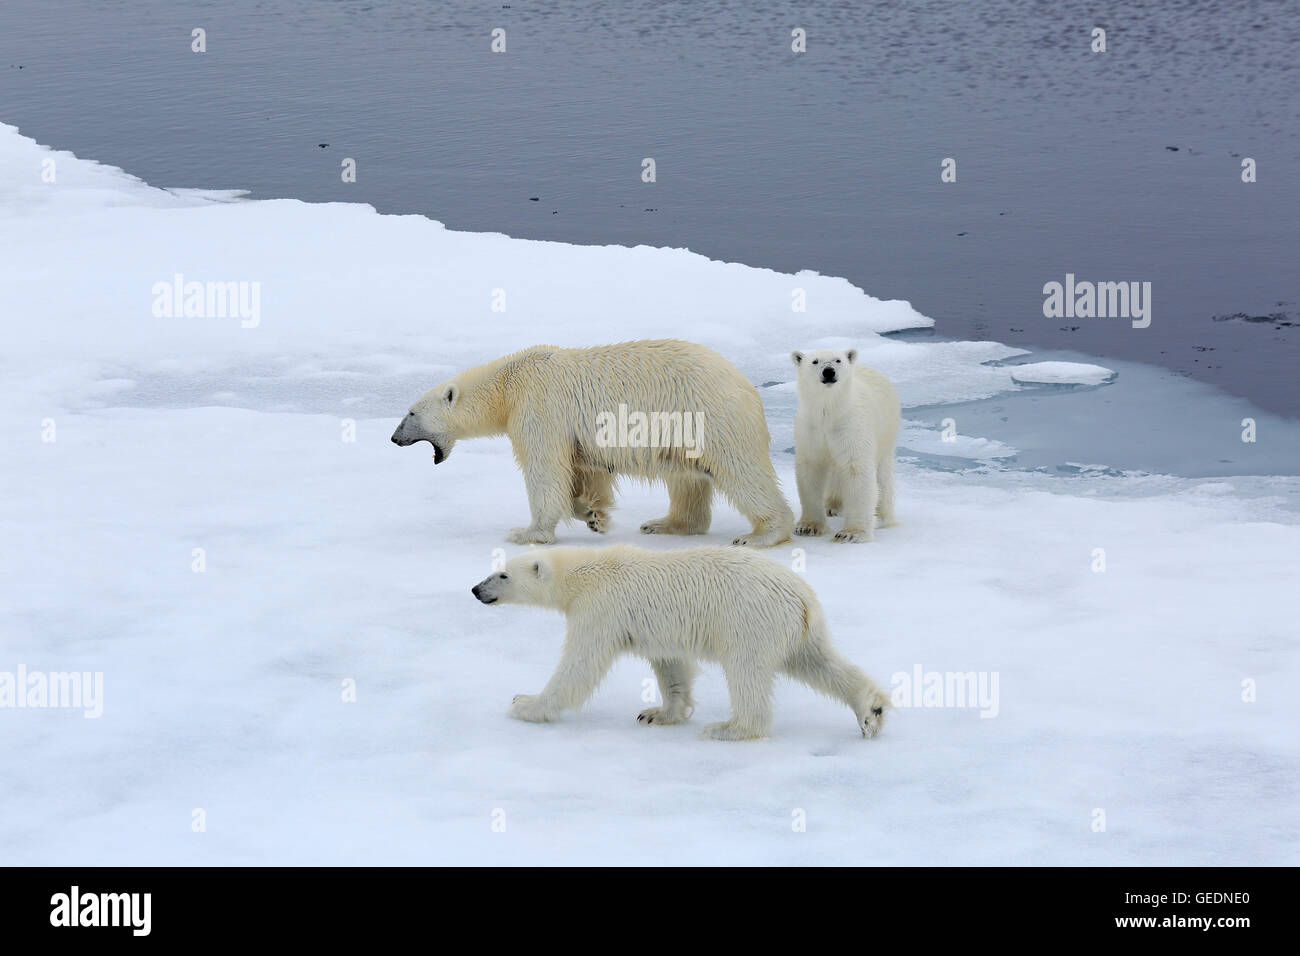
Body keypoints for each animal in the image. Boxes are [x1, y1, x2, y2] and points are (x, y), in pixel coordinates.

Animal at [392, 340, 794, 547]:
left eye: (411, 412)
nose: (394, 438)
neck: (509, 383)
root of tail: (747, 387)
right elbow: (582, 469)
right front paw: (592, 514)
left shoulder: (539, 407)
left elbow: (545, 470)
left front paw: (527, 533)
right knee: (685, 477)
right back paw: (665, 524)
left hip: (708, 417)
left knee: (740, 471)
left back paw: (761, 534)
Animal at [471, 544, 891, 740]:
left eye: (503, 574)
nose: (476, 589)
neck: (583, 573)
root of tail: (801, 594)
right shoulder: (658, 630)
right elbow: (671, 666)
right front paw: (658, 713)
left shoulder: (600, 608)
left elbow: (580, 665)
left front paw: (525, 703)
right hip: (797, 628)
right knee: (819, 662)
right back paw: (871, 710)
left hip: (749, 619)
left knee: (746, 671)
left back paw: (729, 728)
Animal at [790, 347, 900, 543]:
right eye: (815, 361)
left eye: (838, 360)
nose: (829, 371)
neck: (829, 411)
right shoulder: (811, 430)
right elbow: (811, 470)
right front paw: (808, 527)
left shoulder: (851, 426)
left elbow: (855, 469)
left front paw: (851, 533)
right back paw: (832, 506)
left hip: (886, 430)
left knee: (883, 476)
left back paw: (882, 517)